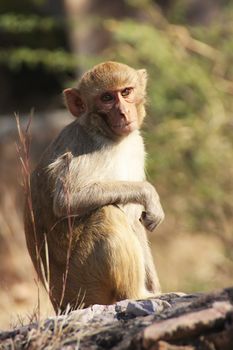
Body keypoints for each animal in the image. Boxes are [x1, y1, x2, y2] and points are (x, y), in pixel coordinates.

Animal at [24, 61, 164, 314]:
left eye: (126, 92)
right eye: (107, 98)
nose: (123, 112)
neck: (109, 136)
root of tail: (60, 304)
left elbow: (136, 220)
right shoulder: (86, 150)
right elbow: (66, 199)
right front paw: (149, 194)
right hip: (84, 285)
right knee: (107, 212)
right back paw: (136, 295)